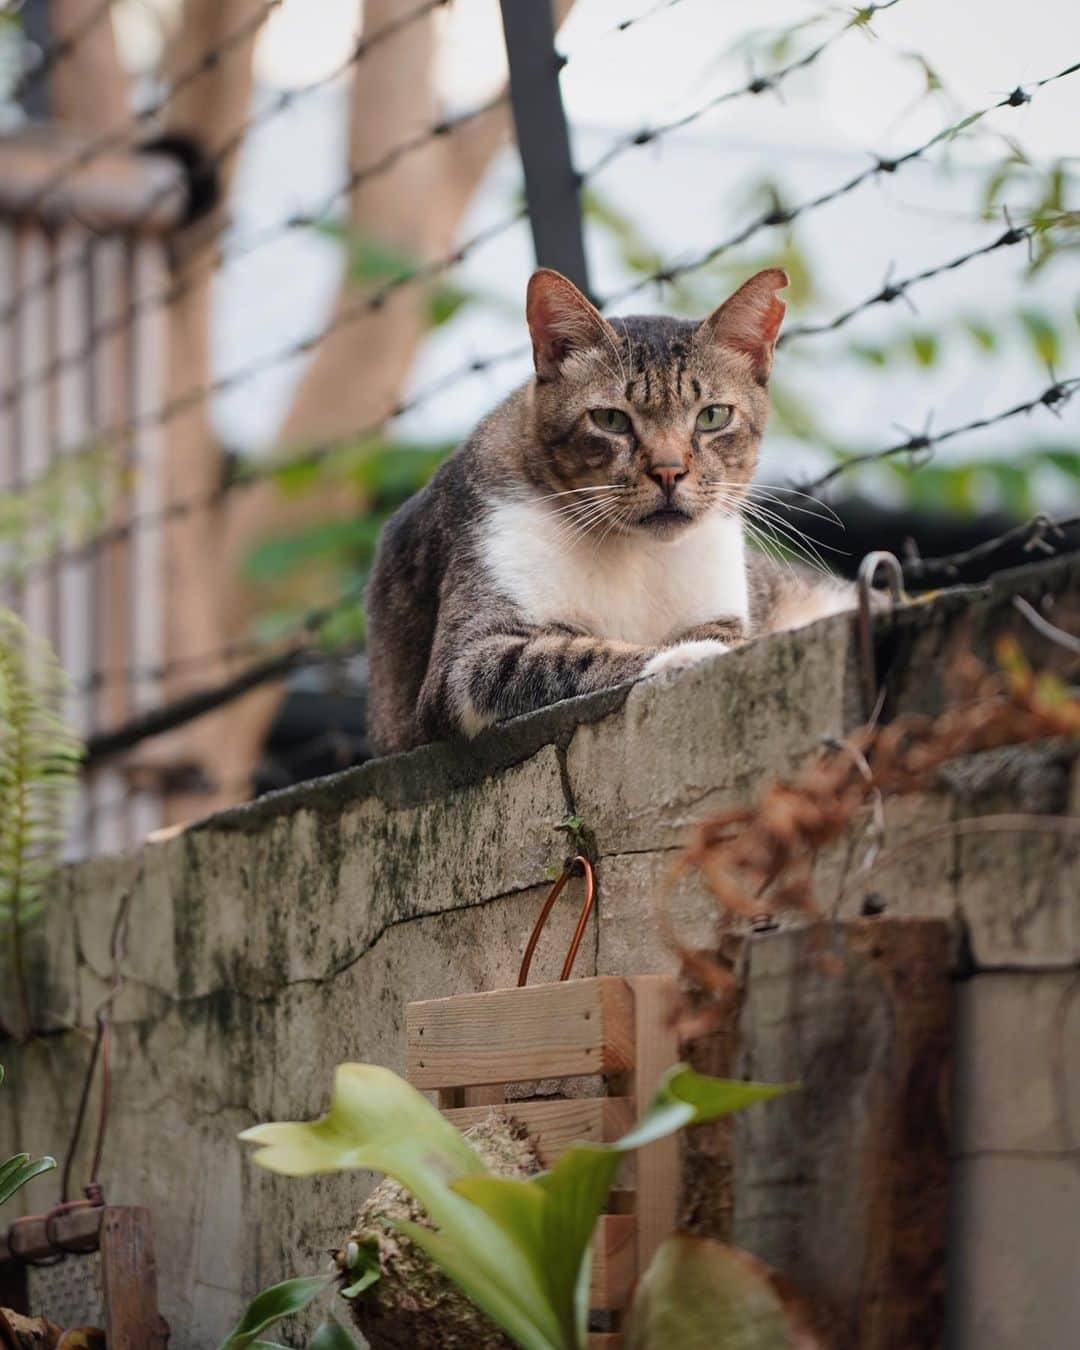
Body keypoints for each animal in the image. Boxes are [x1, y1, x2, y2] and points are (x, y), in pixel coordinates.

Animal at [367, 260, 847, 750]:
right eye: (611, 419)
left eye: (713, 416)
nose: (669, 471)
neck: (634, 553)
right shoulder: (465, 660)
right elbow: (568, 655)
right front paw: (684, 654)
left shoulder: (722, 603)